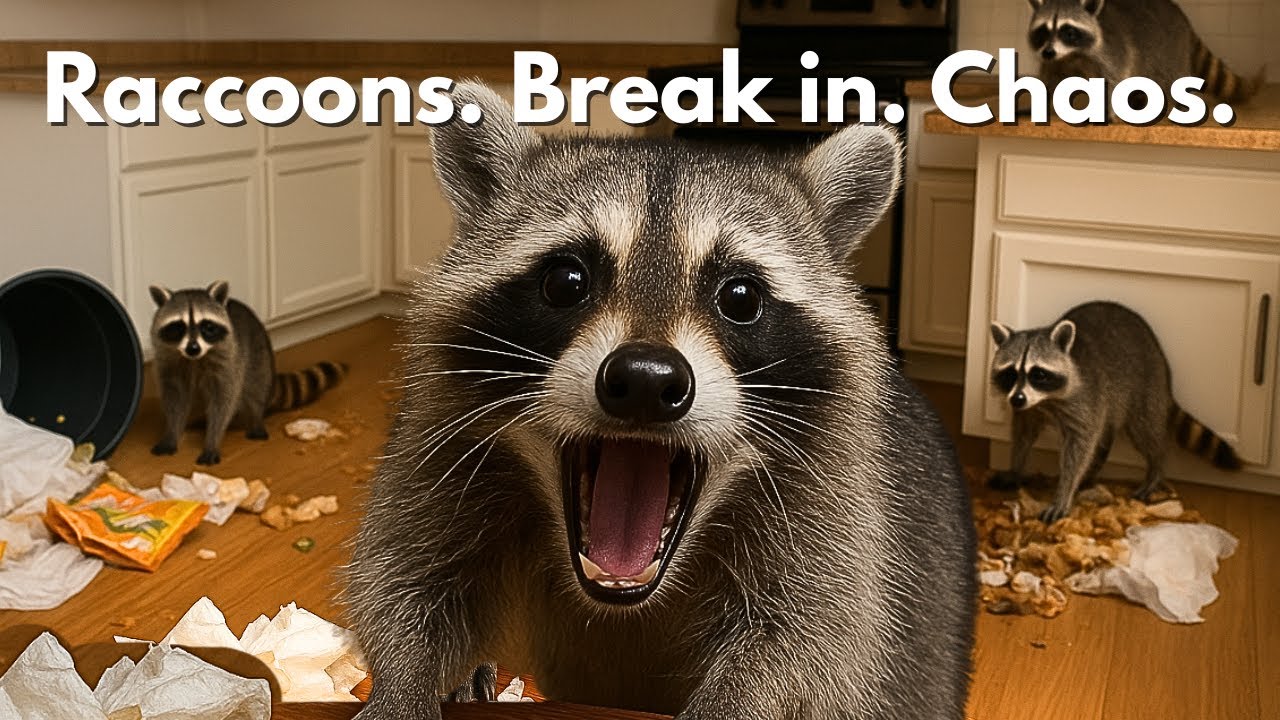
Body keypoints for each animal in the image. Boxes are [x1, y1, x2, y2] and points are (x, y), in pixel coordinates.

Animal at [148, 281, 347, 465]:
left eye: (207, 327)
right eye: (178, 327)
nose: (193, 348)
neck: (195, 358)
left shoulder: (230, 361)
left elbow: (223, 401)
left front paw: (212, 440)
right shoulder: (168, 363)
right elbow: (175, 398)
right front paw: (172, 433)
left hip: (259, 356)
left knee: (257, 387)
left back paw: (256, 419)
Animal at [346, 83, 976, 720]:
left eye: (740, 297)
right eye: (566, 281)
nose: (646, 379)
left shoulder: (832, 501)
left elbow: (812, 638)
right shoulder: (443, 439)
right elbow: (403, 578)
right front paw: (403, 685)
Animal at [990, 301, 1242, 522]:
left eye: (1038, 374)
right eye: (1010, 373)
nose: (1017, 399)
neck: (1045, 400)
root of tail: (1163, 364)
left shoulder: (1085, 399)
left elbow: (1079, 447)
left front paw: (1064, 491)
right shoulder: (1030, 409)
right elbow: (1024, 434)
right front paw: (1016, 467)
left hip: (1145, 387)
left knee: (1146, 433)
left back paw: (1156, 467)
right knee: (1105, 438)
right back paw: (1093, 472)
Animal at [1026, 0, 1263, 104]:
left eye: (1068, 31)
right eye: (1043, 31)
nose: (1048, 52)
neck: (1072, 54)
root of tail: (1183, 18)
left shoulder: (1113, 50)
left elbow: (1114, 78)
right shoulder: (1056, 61)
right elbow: (1051, 76)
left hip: (1170, 51)